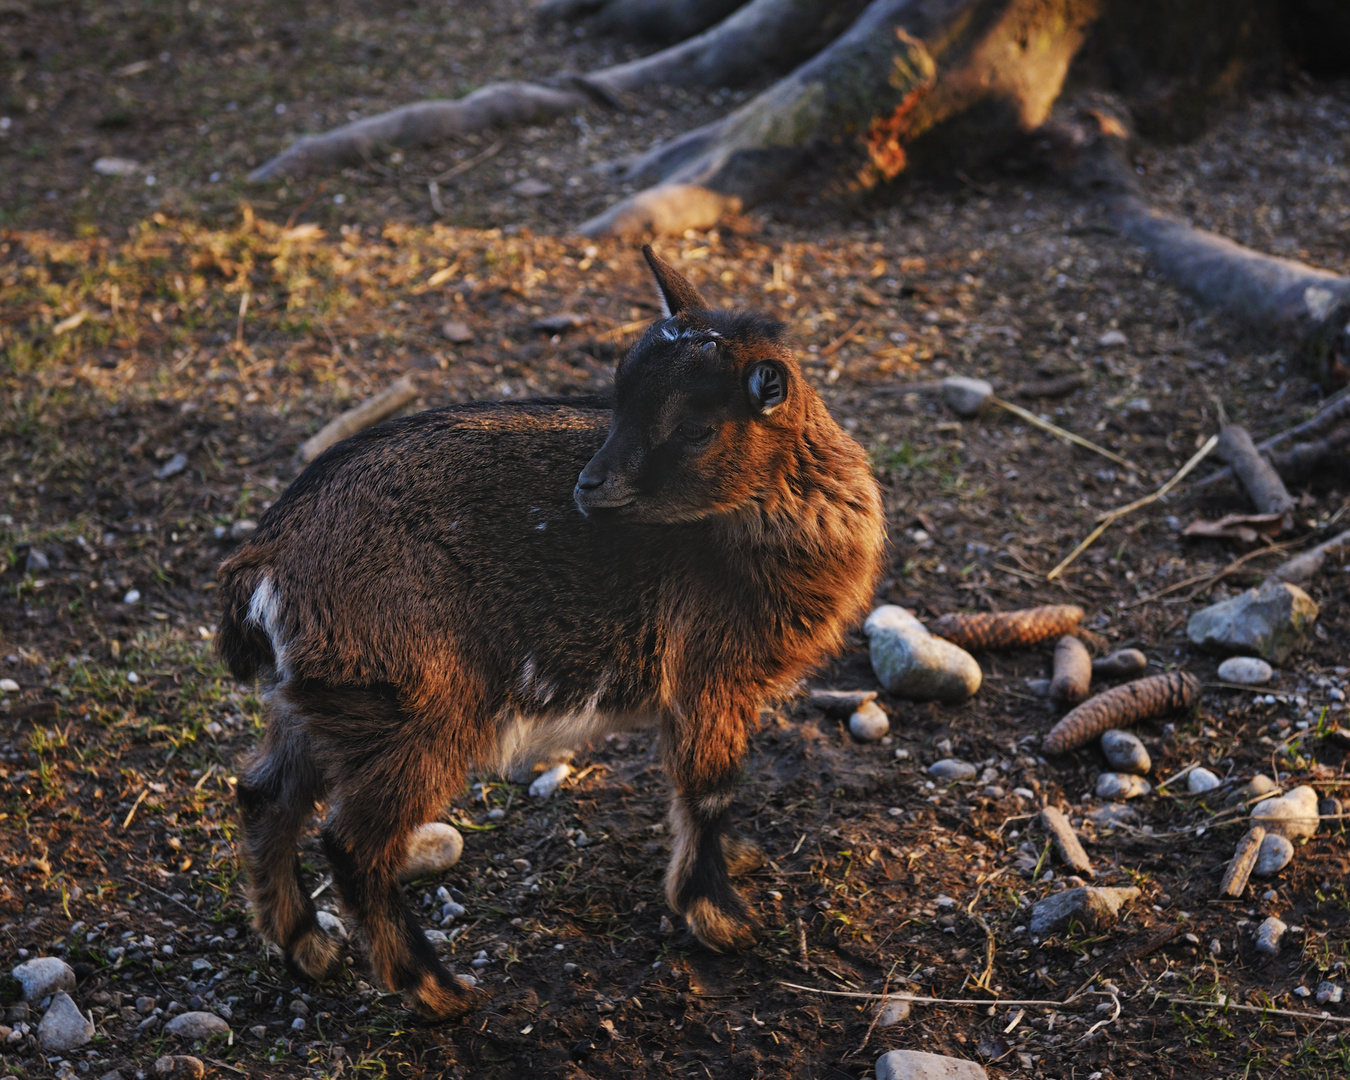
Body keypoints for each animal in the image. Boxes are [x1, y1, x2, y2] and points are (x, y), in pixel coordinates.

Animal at [218, 247, 885, 1020]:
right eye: (618, 403)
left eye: (696, 427)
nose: (590, 487)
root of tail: (268, 565)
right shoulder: (709, 673)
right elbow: (709, 787)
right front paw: (722, 920)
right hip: (418, 707)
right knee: (356, 842)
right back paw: (439, 990)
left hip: (322, 705)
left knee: (264, 796)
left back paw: (309, 950)